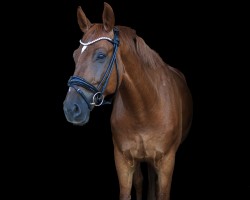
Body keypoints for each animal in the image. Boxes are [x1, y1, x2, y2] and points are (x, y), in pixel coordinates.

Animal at [63, 1, 193, 200]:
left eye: (100, 55)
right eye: (75, 55)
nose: (71, 108)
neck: (145, 109)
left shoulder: (166, 162)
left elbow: (161, 191)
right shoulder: (123, 160)